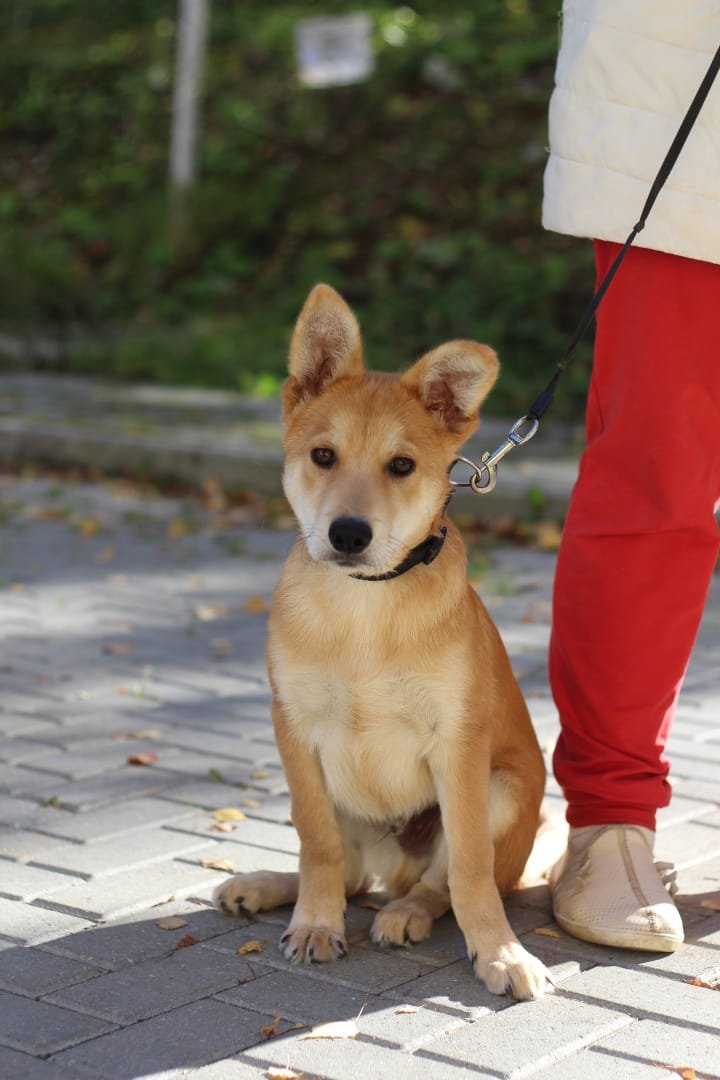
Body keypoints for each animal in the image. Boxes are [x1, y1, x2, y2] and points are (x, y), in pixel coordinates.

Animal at [215, 283, 550, 1000]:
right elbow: (317, 846)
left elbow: (471, 869)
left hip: (506, 789)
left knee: (437, 887)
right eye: (322, 456)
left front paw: (502, 952)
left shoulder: (459, 743)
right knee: (343, 872)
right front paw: (315, 924)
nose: (347, 533)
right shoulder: (294, 728)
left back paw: (405, 913)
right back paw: (267, 887)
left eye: (402, 465)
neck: (364, 610)